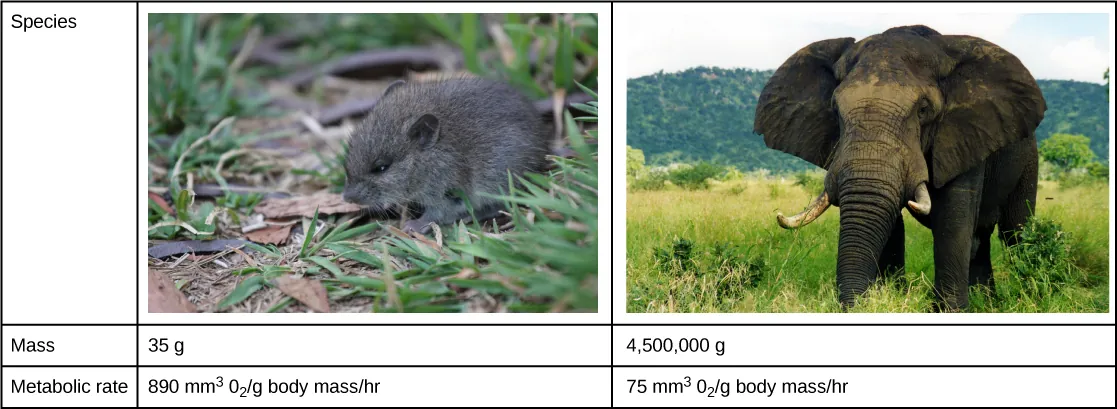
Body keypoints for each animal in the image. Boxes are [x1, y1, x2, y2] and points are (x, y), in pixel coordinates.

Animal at [753, 25, 1046, 311]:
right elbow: (889, 220)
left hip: (1028, 158)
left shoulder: (963, 133)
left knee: (1015, 230)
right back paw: (988, 303)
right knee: (981, 240)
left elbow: (953, 217)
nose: (856, 305)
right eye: (835, 110)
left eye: (923, 110)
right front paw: (890, 297)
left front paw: (949, 311)